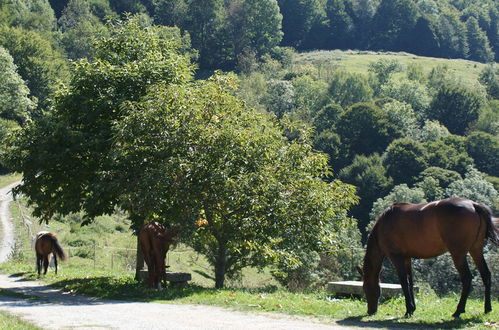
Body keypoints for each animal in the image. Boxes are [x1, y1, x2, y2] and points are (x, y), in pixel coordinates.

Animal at [360, 197, 499, 318]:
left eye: (366, 288)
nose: (370, 311)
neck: (384, 223)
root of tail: (473, 205)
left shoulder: (397, 257)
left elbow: (404, 282)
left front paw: (408, 310)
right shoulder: (407, 258)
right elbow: (410, 282)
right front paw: (412, 308)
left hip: (458, 254)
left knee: (467, 279)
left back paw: (458, 311)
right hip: (476, 250)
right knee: (486, 275)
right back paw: (487, 308)